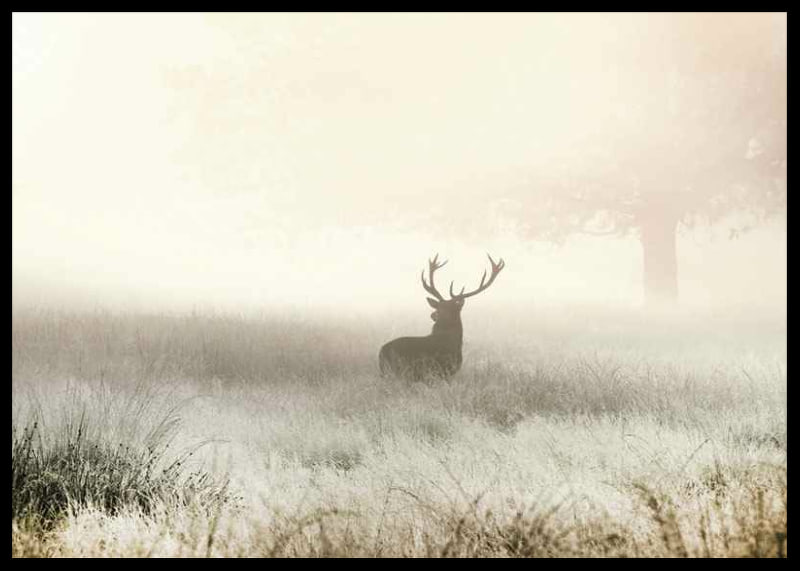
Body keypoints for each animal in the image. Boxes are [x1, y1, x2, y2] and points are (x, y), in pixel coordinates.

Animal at [379, 253, 505, 382]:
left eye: (449, 308)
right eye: (439, 306)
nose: (433, 315)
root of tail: (381, 351)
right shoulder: (443, 370)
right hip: (402, 370)